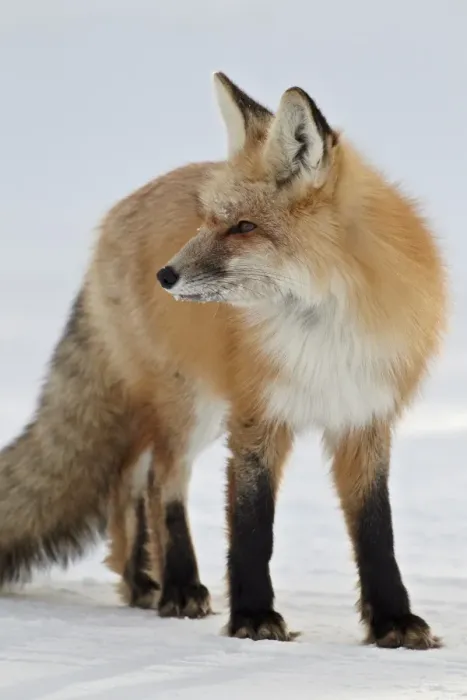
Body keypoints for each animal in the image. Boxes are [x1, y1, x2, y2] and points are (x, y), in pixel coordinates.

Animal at [0, 71, 447, 649]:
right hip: (191, 404)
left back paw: (141, 581)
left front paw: (393, 619)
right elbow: (253, 527)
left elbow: (376, 530)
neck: (324, 330)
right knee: (159, 481)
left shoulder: (364, 417)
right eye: (209, 220)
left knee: (128, 482)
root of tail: (116, 215)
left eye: (244, 227)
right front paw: (254, 617)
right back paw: (177, 586)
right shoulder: (256, 417)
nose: (165, 276)